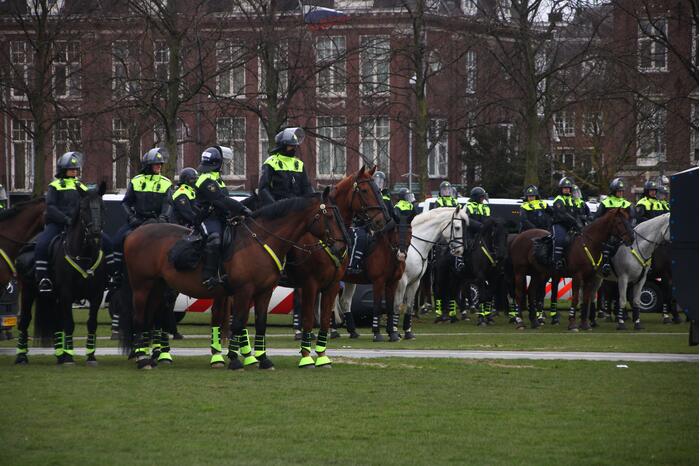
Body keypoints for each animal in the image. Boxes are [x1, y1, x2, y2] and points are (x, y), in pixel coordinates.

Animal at [124, 187, 348, 370]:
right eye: (328, 215)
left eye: (339, 214)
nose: (341, 247)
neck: (261, 240)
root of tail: (135, 233)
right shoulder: (245, 290)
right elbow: (239, 323)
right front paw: (235, 360)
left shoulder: (264, 292)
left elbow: (260, 323)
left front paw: (262, 359)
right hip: (142, 287)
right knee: (139, 318)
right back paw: (144, 358)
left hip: (158, 287)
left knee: (152, 318)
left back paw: (152, 356)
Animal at [508, 208, 636, 332]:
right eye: (619, 222)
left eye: (628, 220)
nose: (631, 238)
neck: (588, 243)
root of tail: (517, 237)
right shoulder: (577, 277)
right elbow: (575, 299)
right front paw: (572, 324)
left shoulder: (589, 278)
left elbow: (586, 299)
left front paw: (585, 324)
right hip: (520, 272)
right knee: (519, 294)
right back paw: (520, 322)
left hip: (537, 273)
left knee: (531, 292)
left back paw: (534, 322)